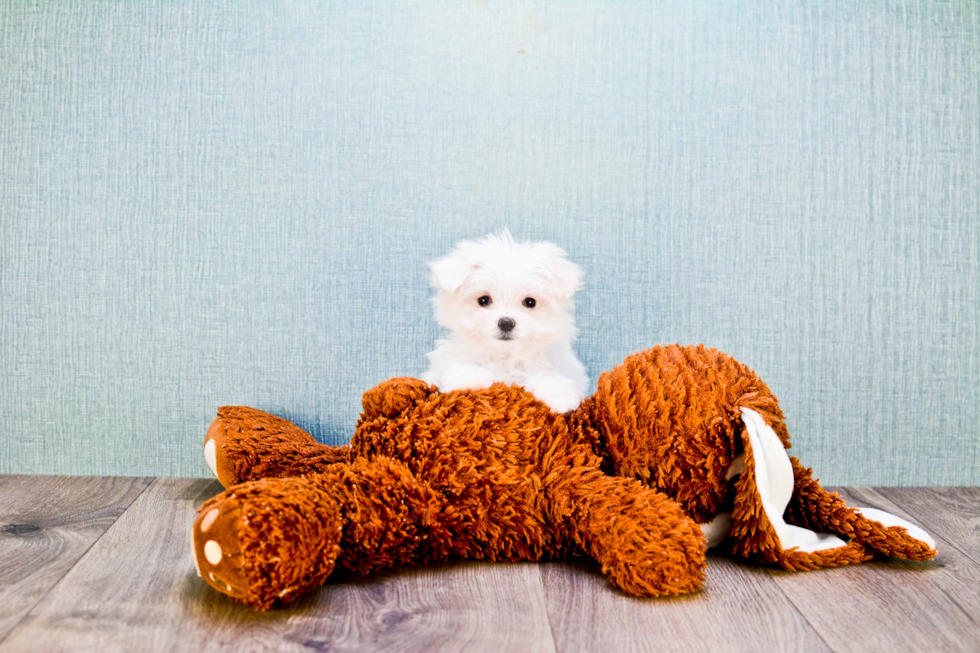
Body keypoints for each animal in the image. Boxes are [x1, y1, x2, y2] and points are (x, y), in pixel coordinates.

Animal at [422, 232, 588, 410]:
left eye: (530, 302)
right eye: (483, 300)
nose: (506, 322)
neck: (505, 356)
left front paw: (557, 395)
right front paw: (467, 379)